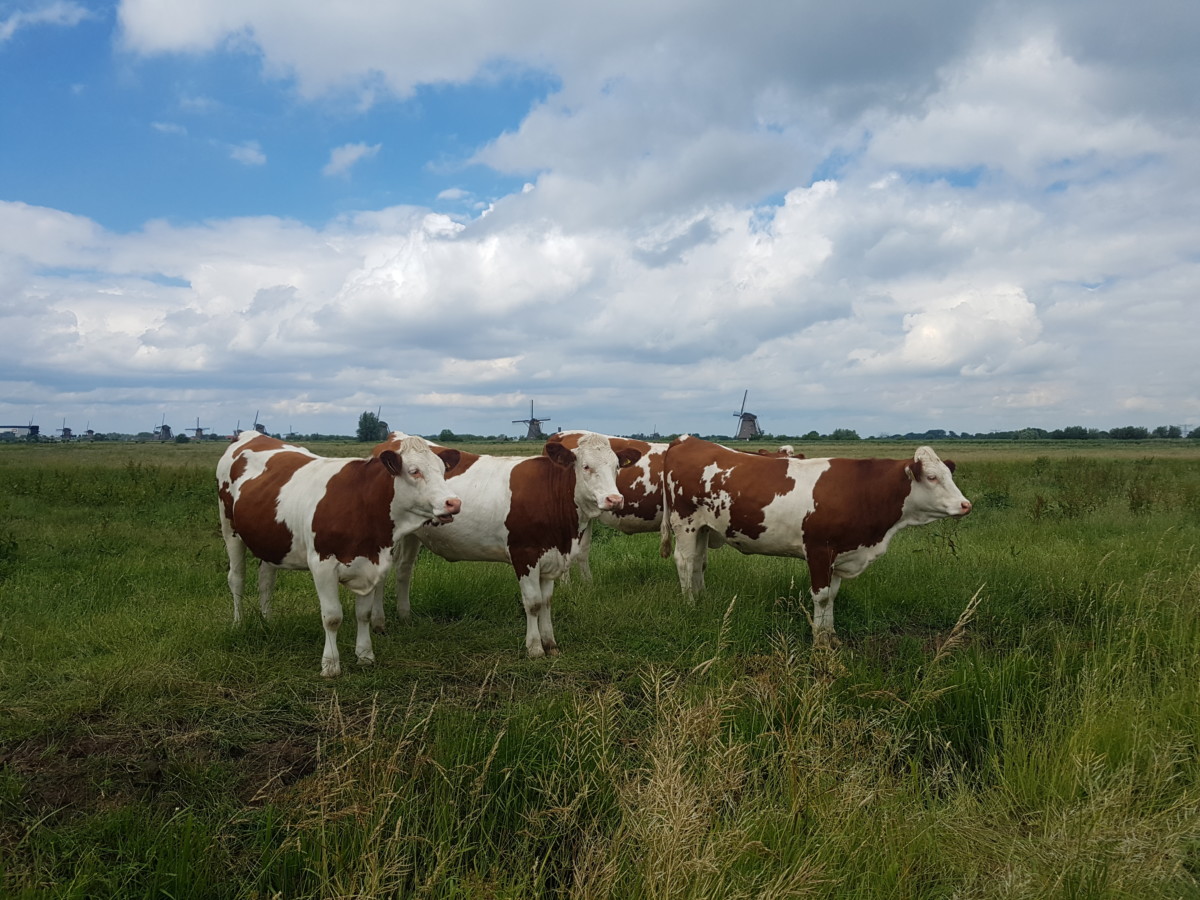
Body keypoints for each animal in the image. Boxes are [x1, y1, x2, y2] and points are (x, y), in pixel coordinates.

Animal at [216, 432, 458, 676]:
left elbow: (363, 614)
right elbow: (332, 617)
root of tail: (250, 434)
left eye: (443, 470)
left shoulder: (372, 563)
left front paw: (365, 655)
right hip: (229, 528)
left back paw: (267, 621)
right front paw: (331, 665)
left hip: (271, 540)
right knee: (236, 578)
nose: (454, 502)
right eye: (414, 471)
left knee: (266, 580)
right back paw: (238, 623)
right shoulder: (322, 565)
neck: (362, 503)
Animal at [369, 434, 643, 657]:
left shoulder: (552, 556)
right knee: (381, 576)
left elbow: (547, 602)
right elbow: (533, 602)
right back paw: (379, 623)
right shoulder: (524, 554)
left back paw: (405, 616)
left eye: (616, 467)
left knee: (404, 570)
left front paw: (551, 644)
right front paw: (534, 648)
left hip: (412, 534)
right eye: (586, 466)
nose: (614, 499)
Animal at [662, 434, 969, 648]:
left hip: (702, 528)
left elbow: (832, 595)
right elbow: (820, 596)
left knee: (699, 562)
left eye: (949, 475)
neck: (862, 489)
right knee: (685, 561)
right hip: (685, 522)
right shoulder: (819, 550)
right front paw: (819, 642)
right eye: (932, 477)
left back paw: (701, 599)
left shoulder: (842, 553)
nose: (965, 505)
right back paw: (690, 604)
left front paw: (830, 634)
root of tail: (687, 440)